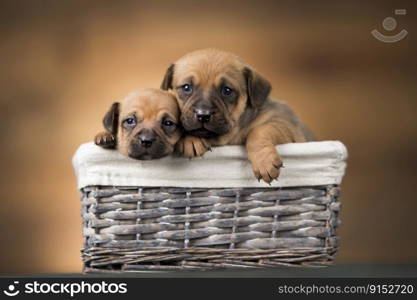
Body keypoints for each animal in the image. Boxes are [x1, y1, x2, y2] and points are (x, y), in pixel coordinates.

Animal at [161, 48, 314, 183]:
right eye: (186, 87)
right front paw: (191, 140)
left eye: (227, 90)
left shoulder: (285, 126)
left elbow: (259, 131)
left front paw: (264, 162)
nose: (203, 115)